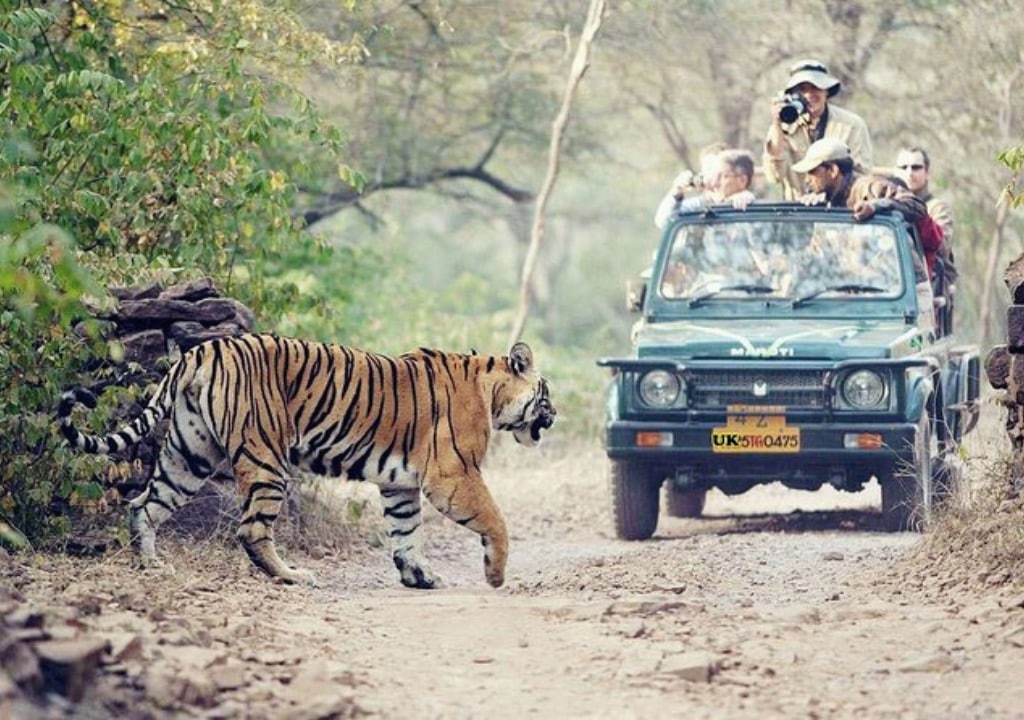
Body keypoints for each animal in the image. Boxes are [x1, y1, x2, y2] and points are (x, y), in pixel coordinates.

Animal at [58, 335, 552, 589]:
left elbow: (406, 530)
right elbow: (495, 520)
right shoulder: (454, 474)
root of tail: (202, 350)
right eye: (546, 394)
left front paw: (418, 576)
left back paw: (151, 566)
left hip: (189, 456)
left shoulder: (401, 483)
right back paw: (293, 575)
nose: (555, 415)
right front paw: (495, 575)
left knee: (143, 504)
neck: (491, 392)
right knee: (251, 530)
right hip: (266, 460)